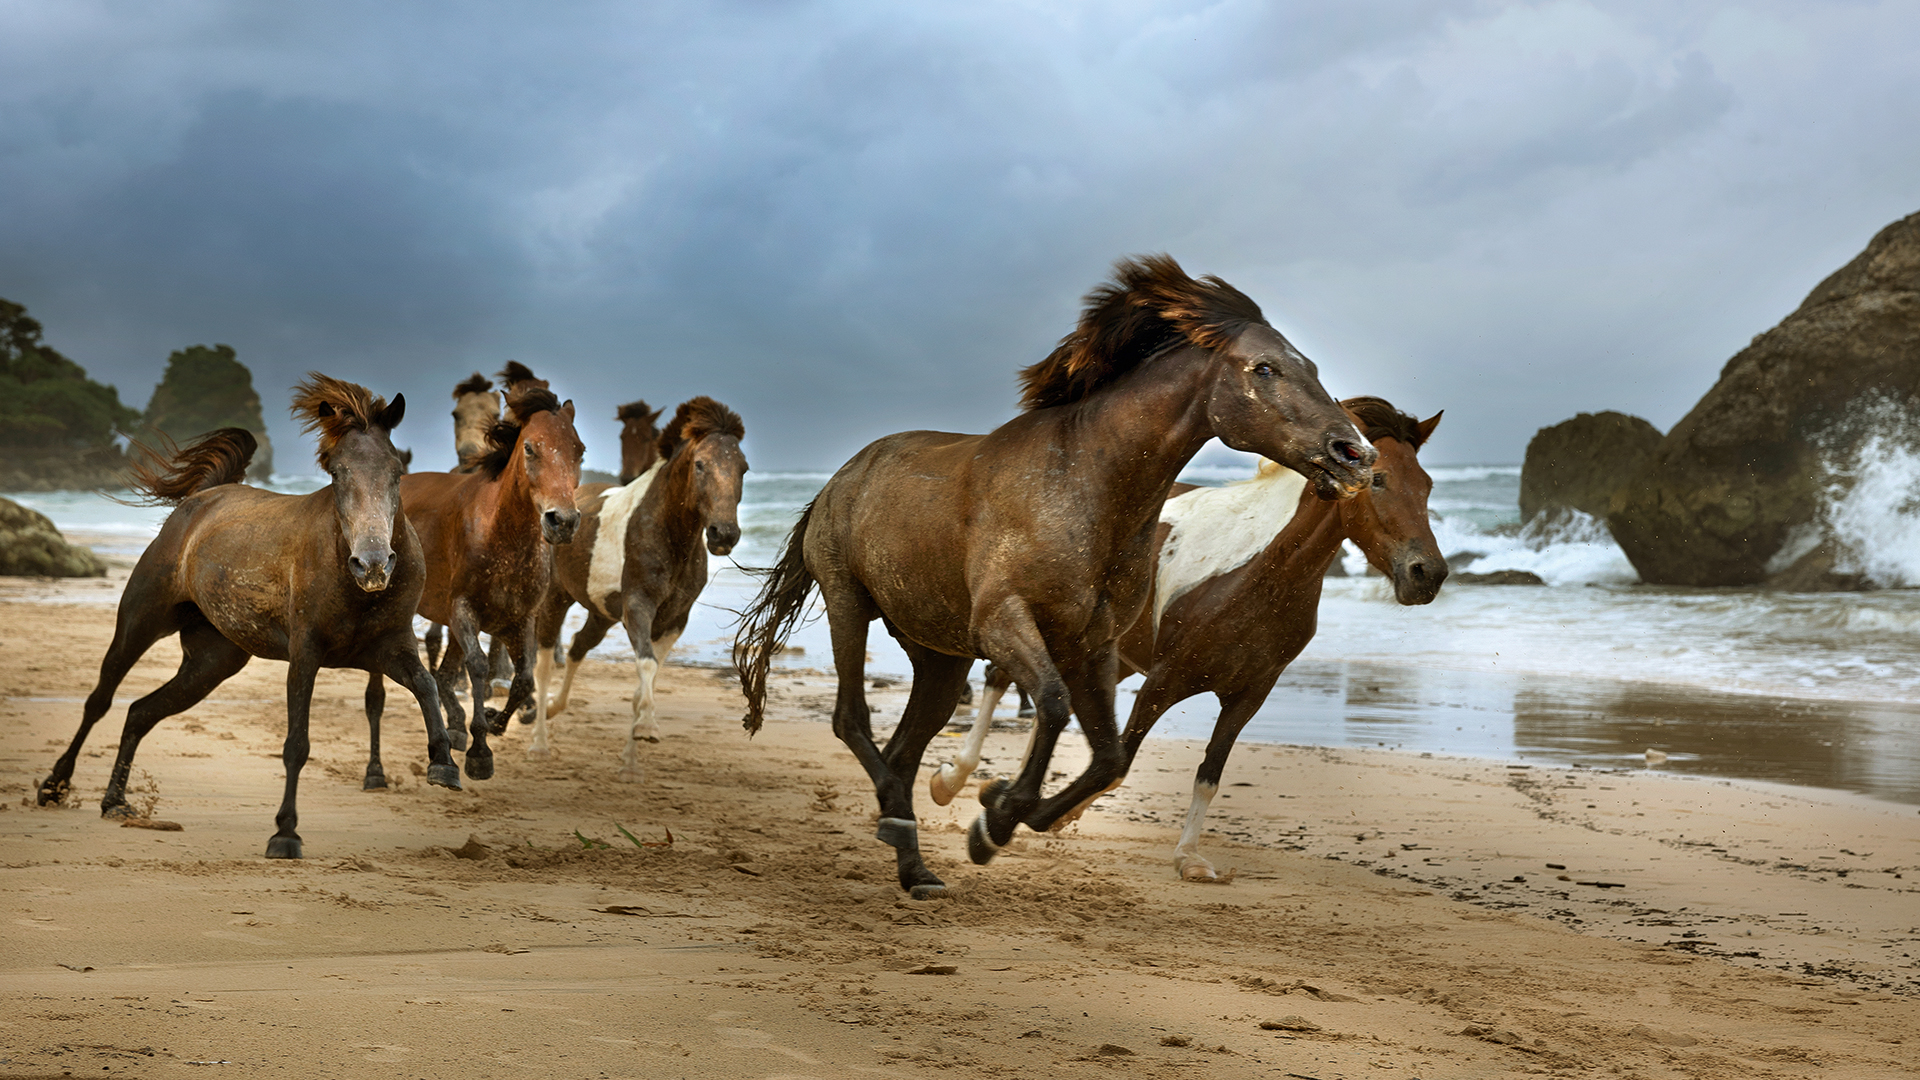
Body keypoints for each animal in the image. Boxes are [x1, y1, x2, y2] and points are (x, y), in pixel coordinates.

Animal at [36, 376, 460, 857]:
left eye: (396, 471)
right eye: (337, 472)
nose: (372, 565)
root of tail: (201, 498)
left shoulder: (390, 648)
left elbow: (426, 685)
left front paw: (444, 763)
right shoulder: (306, 655)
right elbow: (297, 744)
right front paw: (285, 834)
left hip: (211, 663)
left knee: (141, 712)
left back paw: (115, 801)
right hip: (140, 621)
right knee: (100, 700)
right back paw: (55, 786)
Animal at [396, 382, 584, 780]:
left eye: (579, 450)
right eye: (530, 447)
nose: (562, 521)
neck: (504, 536)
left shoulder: (520, 618)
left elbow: (524, 678)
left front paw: (495, 720)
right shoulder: (464, 610)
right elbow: (479, 666)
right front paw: (480, 751)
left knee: (445, 675)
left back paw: (454, 725)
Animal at [532, 398, 747, 777]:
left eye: (744, 469)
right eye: (700, 464)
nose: (724, 534)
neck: (668, 534)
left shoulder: (674, 621)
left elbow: (645, 679)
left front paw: (630, 761)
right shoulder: (638, 608)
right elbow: (645, 665)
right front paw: (647, 728)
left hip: (601, 614)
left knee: (577, 647)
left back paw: (557, 707)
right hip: (556, 600)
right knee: (544, 664)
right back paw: (540, 743)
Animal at [734, 254, 1375, 898]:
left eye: (1312, 367)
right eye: (1264, 368)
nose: (1355, 454)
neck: (1085, 483)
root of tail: (841, 476)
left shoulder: (1094, 643)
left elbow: (1109, 758)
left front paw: (994, 818)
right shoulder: (1004, 621)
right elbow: (1052, 703)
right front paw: (995, 816)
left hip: (938, 652)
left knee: (907, 744)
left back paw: (916, 866)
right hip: (849, 603)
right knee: (852, 719)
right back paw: (900, 822)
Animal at [931, 397, 1444, 880]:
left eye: (1427, 484)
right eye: (1378, 479)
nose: (1428, 574)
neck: (1261, 574)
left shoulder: (1250, 693)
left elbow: (1207, 774)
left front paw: (1189, 858)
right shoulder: (1163, 681)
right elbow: (1117, 765)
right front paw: (1018, 814)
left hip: (1108, 657)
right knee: (1000, 678)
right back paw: (952, 779)